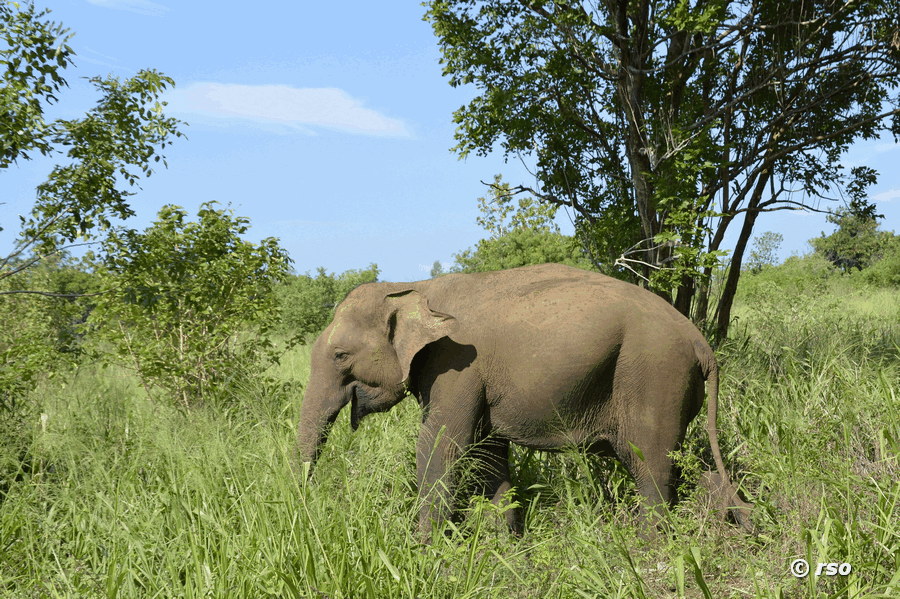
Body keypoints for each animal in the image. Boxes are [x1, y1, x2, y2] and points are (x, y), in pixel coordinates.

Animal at [296, 263, 753, 535]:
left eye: (340, 356)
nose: (306, 503)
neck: (411, 287)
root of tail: (701, 342)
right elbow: (488, 452)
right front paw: (509, 546)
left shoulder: (457, 365)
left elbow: (442, 445)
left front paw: (425, 551)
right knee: (678, 460)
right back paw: (733, 529)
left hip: (654, 373)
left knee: (651, 462)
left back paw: (651, 546)